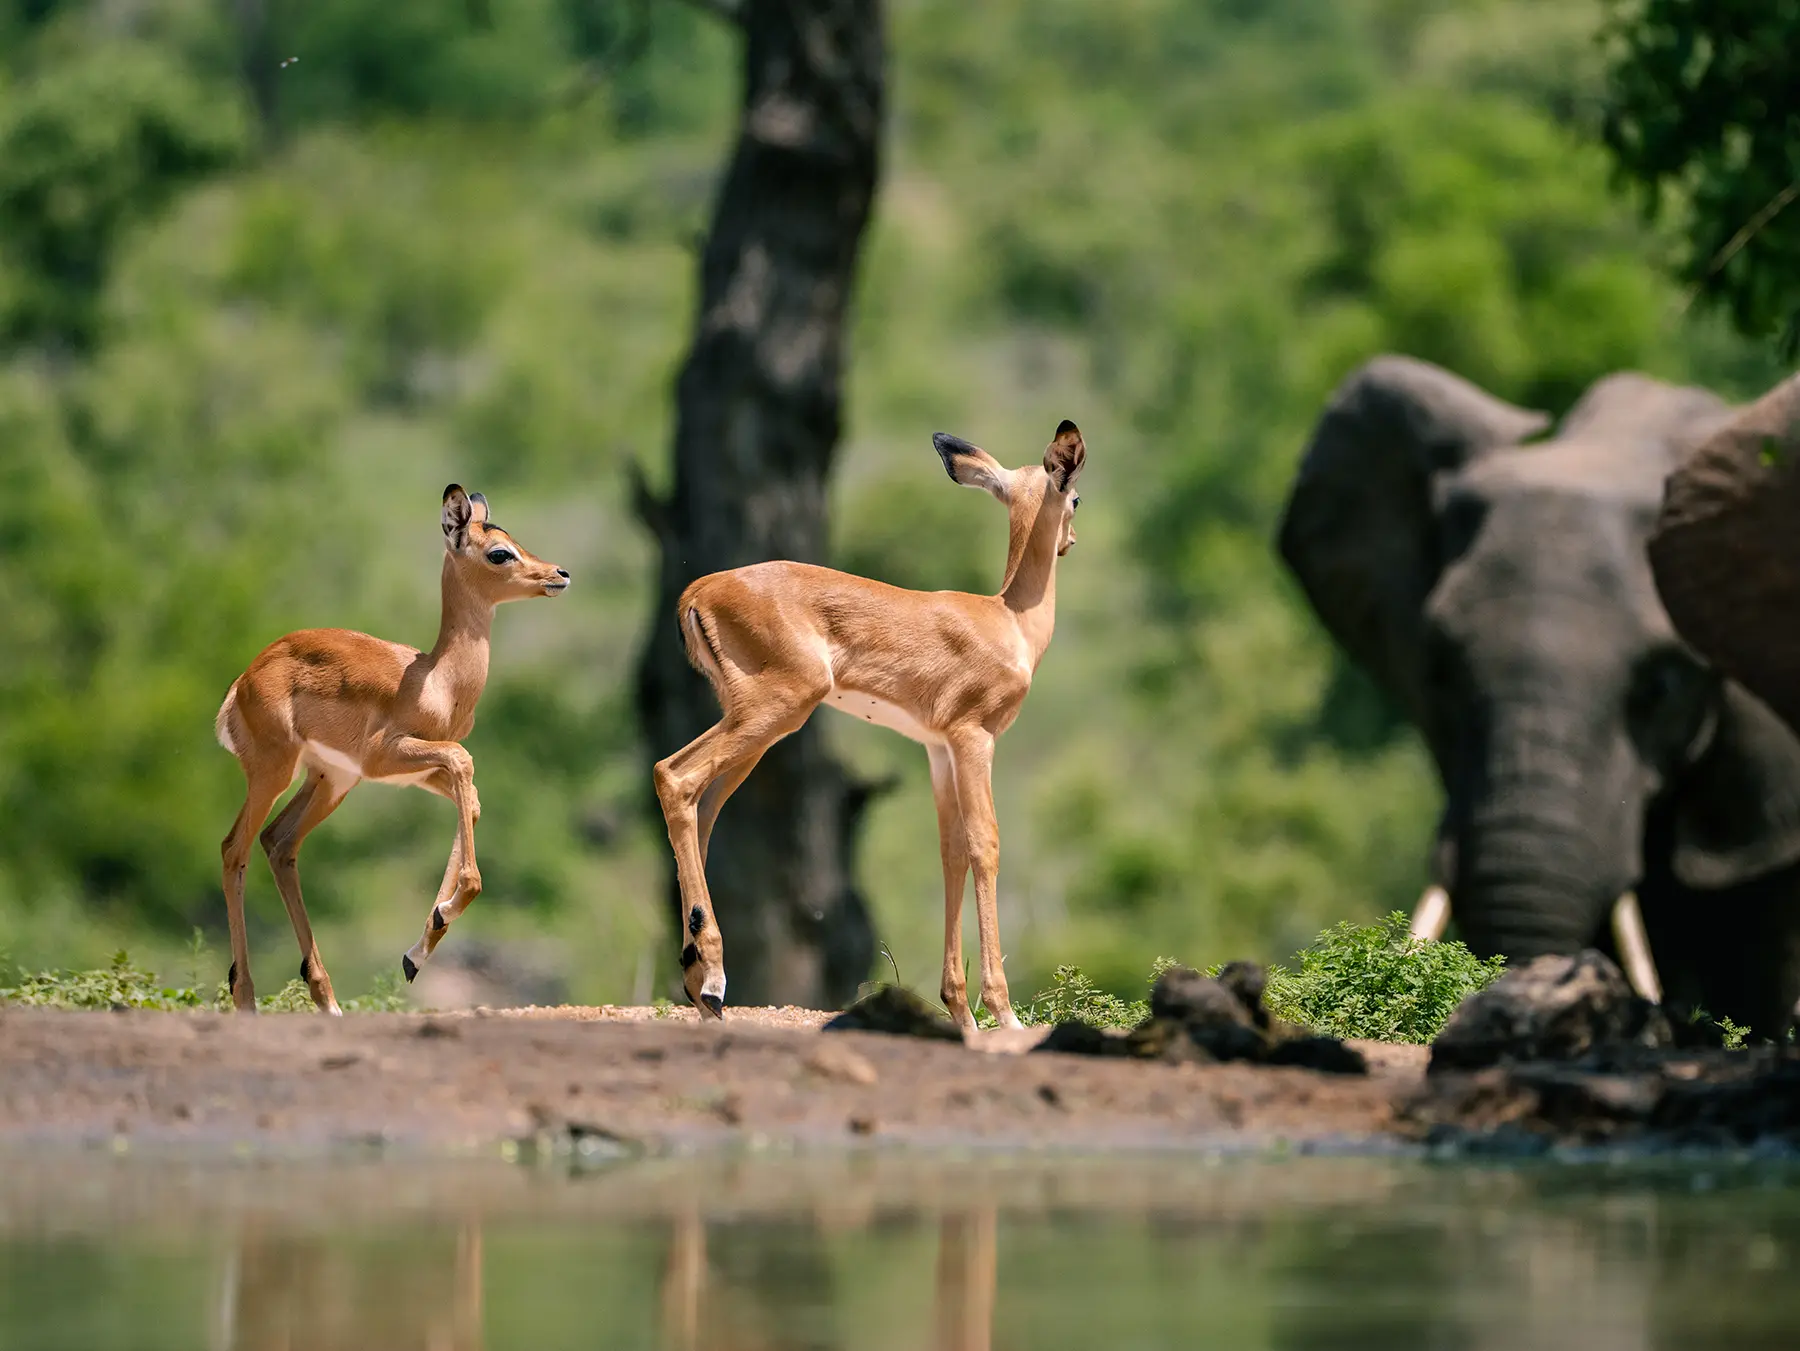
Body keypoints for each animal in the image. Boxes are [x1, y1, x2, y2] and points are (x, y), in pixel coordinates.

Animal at [214, 485, 569, 1013]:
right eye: (499, 552)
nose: (559, 574)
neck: (436, 680)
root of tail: (242, 682)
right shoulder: (391, 756)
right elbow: (465, 765)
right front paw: (439, 919)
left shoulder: (417, 771)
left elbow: (471, 799)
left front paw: (421, 946)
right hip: (274, 773)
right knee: (234, 850)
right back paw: (247, 1002)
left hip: (330, 782)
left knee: (279, 844)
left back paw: (328, 1000)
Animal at [653, 421, 1087, 1032]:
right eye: (1075, 497)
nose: (1072, 540)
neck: (1010, 621)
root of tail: (699, 591)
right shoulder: (974, 737)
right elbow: (985, 844)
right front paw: (1002, 1014)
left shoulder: (937, 749)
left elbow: (951, 851)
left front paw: (960, 1010)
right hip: (776, 710)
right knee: (673, 776)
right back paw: (712, 982)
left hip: (754, 729)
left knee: (702, 806)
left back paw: (701, 984)